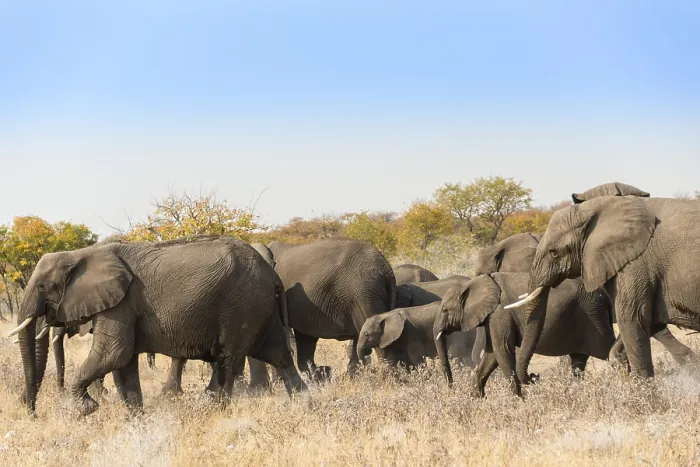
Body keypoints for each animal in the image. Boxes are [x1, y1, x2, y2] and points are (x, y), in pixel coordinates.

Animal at [8, 235, 306, 416]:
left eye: (43, 286)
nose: (32, 413)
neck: (82, 253)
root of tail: (272, 274)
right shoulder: (120, 305)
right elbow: (123, 366)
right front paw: (136, 420)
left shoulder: (121, 304)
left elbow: (112, 355)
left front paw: (82, 409)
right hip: (260, 307)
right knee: (279, 354)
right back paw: (305, 402)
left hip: (242, 304)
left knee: (229, 358)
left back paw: (210, 407)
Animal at [434, 273, 616, 396]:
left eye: (445, 310)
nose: (536, 376)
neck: (474, 282)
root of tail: (605, 296)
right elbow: (491, 355)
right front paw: (477, 400)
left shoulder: (500, 313)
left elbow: (502, 350)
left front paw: (517, 403)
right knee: (578, 361)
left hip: (593, 316)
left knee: (607, 350)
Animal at [509, 195, 700, 380]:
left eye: (554, 252)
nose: (534, 376)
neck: (593, 207)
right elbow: (649, 323)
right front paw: (619, 364)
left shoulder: (634, 265)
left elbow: (632, 320)